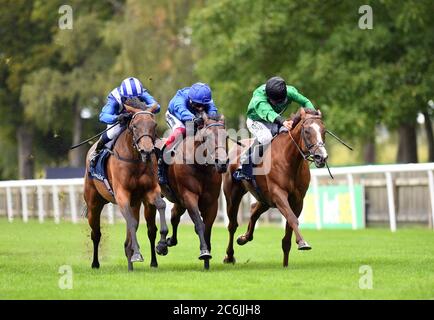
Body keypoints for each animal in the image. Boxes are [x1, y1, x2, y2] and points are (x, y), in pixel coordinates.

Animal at [83, 103, 168, 272]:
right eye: (134, 126)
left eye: (154, 125)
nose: (147, 151)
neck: (135, 159)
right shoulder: (122, 194)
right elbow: (132, 224)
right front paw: (137, 254)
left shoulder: (150, 191)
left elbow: (161, 206)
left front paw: (162, 244)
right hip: (93, 204)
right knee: (96, 233)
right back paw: (95, 263)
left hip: (137, 203)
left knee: (148, 229)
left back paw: (141, 261)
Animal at [159, 114, 227, 268]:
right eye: (207, 137)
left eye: (226, 136)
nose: (222, 164)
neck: (201, 166)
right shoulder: (189, 196)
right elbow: (199, 224)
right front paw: (204, 252)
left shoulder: (211, 202)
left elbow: (207, 227)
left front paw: (207, 260)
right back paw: (161, 245)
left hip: (178, 200)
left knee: (174, 216)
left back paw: (169, 241)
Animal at [222, 109, 328, 266]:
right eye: (307, 131)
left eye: (324, 130)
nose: (321, 157)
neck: (290, 160)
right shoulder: (279, 194)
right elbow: (292, 218)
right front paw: (302, 242)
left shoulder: (298, 200)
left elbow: (289, 229)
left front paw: (285, 264)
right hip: (233, 195)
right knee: (232, 225)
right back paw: (229, 256)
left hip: (265, 199)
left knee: (253, 211)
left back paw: (244, 238)